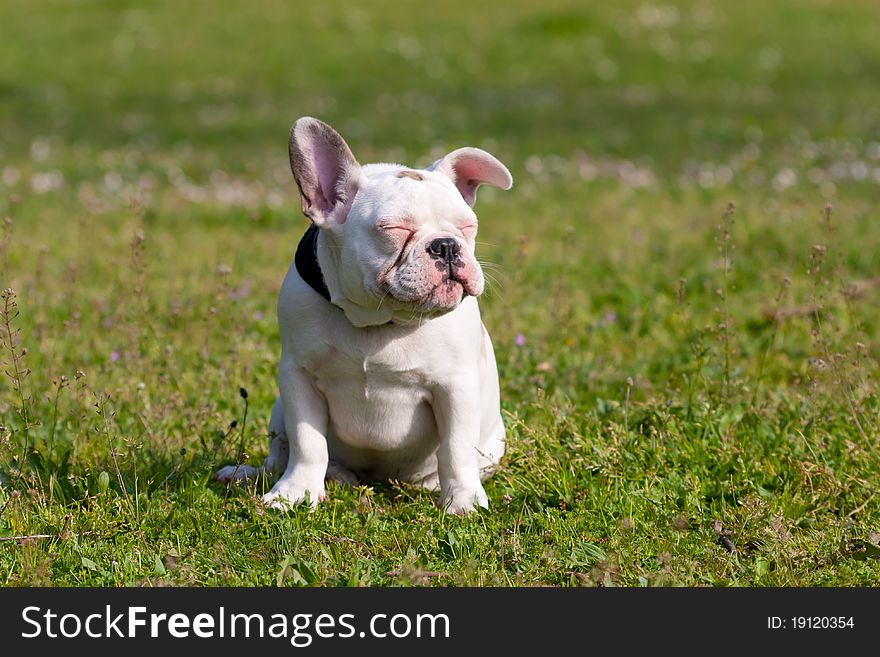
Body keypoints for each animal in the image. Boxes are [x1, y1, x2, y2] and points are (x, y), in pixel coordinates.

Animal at [216, 116, 512, 512]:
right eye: (394, 229)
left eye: (468, 227)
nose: (447, 245)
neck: (378, 318)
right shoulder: (297, 377)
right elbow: (307, 442)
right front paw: (296, 492)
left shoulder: (456, 386)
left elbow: (455, 448)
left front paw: (463, 500)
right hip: (279, 408)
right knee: (280, 453)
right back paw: (256, 474)